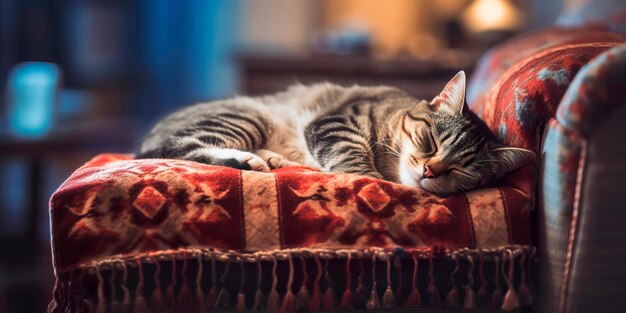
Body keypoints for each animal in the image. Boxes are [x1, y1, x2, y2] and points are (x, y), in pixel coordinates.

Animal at [139, 72, 532, 196]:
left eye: (462, 170)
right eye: (430, 141)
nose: (429, 170)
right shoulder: (335, 122)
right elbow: (352, 154)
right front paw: (372, 178)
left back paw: (269, 158)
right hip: (246, 118)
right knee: (177, 148)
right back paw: (247, 161)